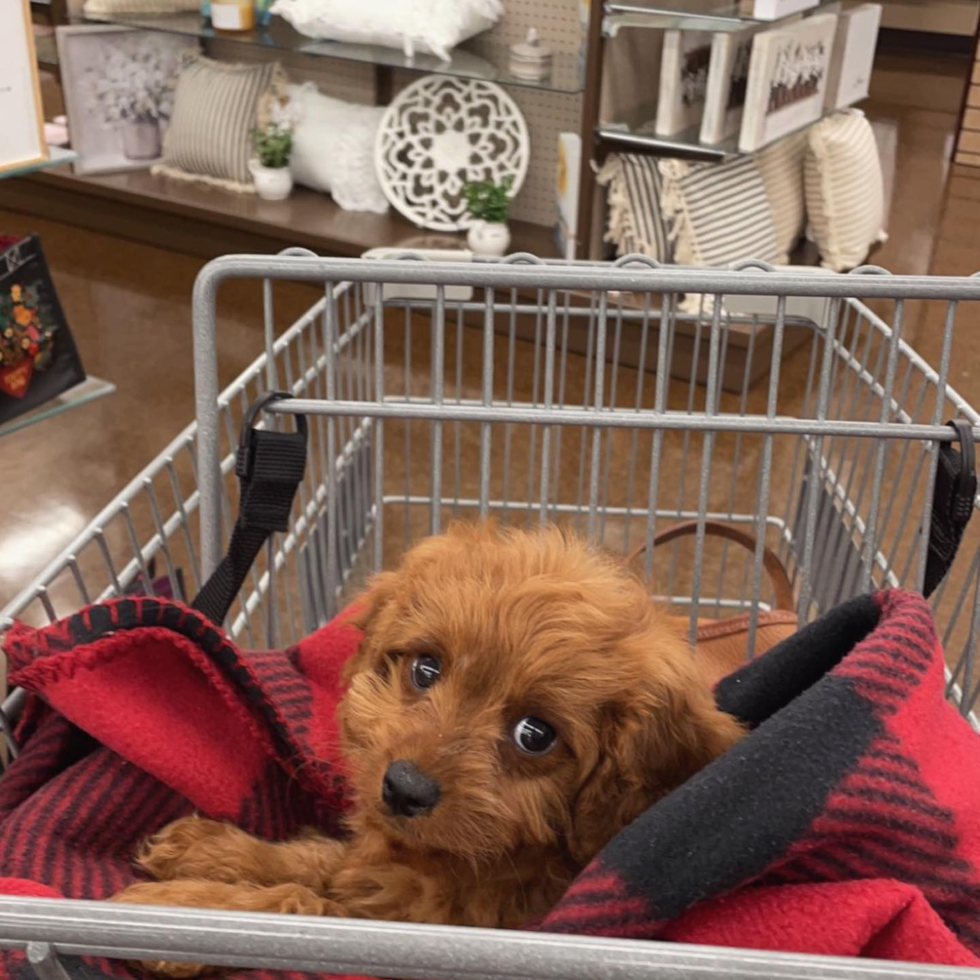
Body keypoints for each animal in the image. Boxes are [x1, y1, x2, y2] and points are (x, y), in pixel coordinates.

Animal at [115, 520, 744, 964]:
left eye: (535, 735)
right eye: (425, 668)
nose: (403, 788)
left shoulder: (419, 930)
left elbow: (306, 905)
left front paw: (168, 914)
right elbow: (318, 861)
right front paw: (208, 851)